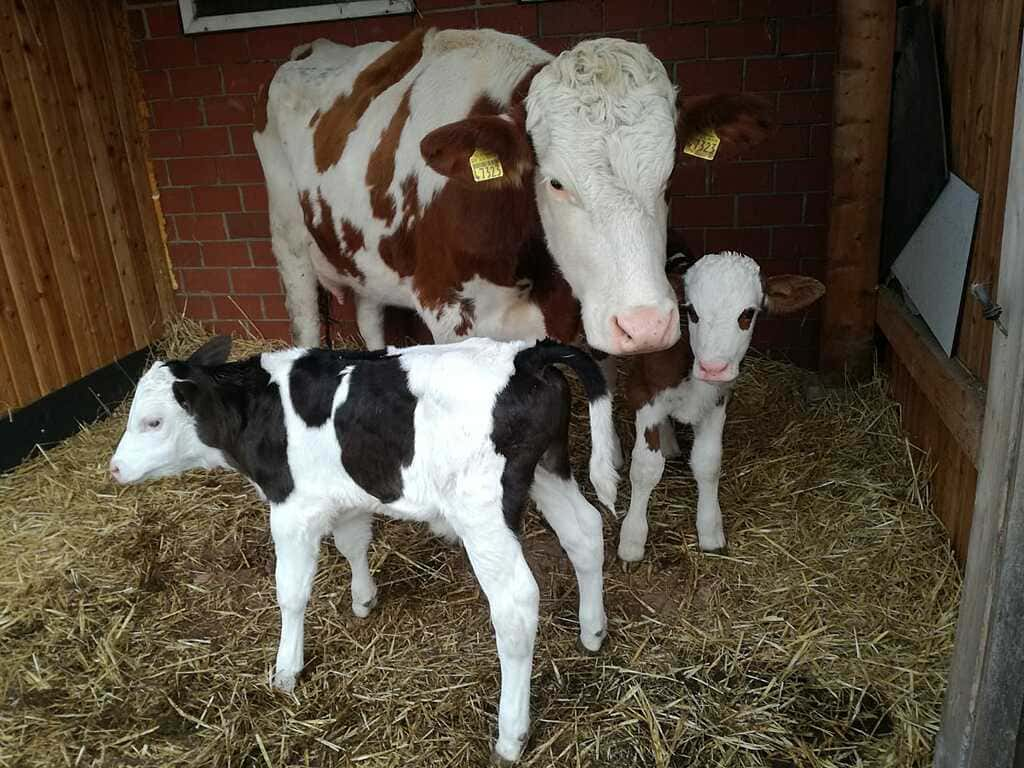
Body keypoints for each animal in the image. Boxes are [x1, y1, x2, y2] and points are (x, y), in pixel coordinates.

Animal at [108, 335, 614, 765]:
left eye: (152, 421)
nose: (114, 468)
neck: (259, 408)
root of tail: (526, 354)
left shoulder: (292, 507)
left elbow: (291, 593)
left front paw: (286, 670)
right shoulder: (345, 494)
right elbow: (353, 542)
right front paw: (363, 599)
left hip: (483, 510)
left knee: (516, 603)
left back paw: (511, 735)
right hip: (549, 468)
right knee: (585, 532)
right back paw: (592, 631)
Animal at [253, 26, 770, 358]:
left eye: (669, 176)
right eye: (556, 182)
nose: (644, 326)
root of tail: (314, 46)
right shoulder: (447, 313)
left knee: (369, 317)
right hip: (288, 238)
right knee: (306, 320)